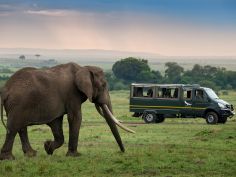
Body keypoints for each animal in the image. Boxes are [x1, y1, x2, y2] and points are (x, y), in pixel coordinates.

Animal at [0, 62, 135, 160]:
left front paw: (48, 147)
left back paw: (31, 154)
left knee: (21, 127)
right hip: (18, 104)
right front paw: (75, 156)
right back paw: (8, 158)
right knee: (13, 127)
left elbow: (56, 123)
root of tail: (5, 89)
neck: (84, 68)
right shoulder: (72, 94)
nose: (122, 152)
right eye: (103, 86)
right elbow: (75, 117)